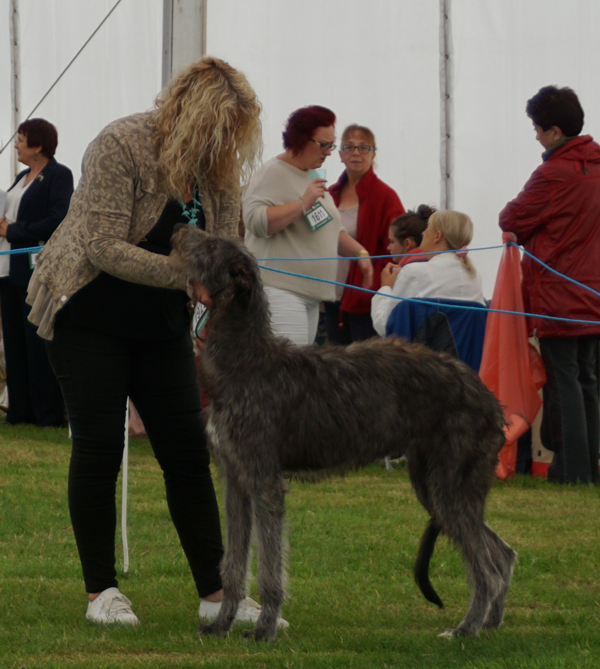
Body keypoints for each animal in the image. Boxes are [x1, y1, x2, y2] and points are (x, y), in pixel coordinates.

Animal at [172, 226, 516, 640]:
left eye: (209, 245)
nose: (180, 229)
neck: (248, 360)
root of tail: (490, 399)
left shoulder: (264, 481)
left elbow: (271, 566)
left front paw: (265, 628)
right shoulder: (235, 480)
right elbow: (234, 563)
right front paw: (222, 623)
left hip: (450, 482)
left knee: (485, 566)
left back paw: (467, 628)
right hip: (436, 484)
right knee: (502, 553)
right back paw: (491, 621)